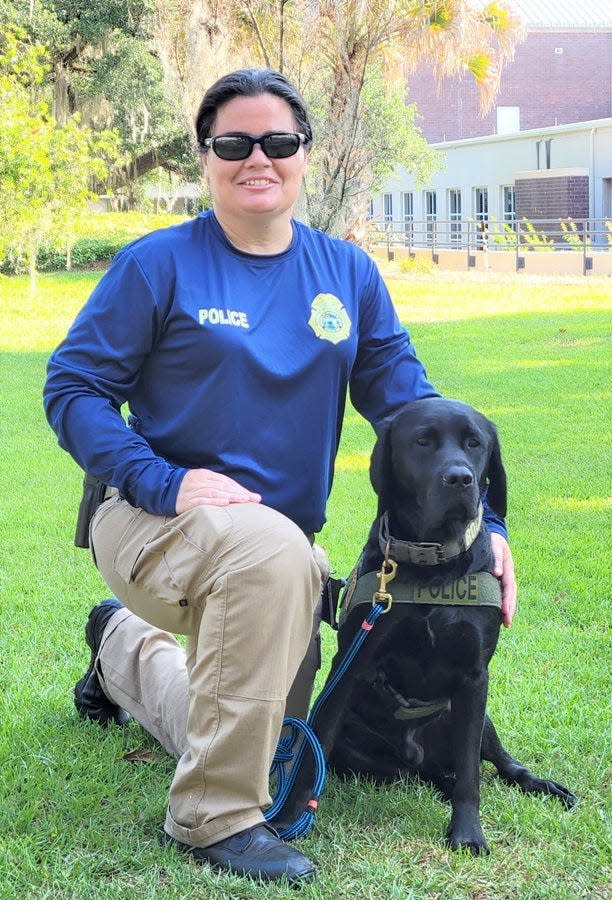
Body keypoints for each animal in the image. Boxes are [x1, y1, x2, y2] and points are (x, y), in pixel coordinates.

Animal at [280, 398, 576, 856]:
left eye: (475, 443)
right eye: (422, 441)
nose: (460, 479)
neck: (431, 565)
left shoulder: (475, 679)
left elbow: (472, 774)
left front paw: (468, 832)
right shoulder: (350, 667)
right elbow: (316, 752)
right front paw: (293, 818)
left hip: (480, 720)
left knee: (498, 764)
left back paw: (540, 785)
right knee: (420, 774)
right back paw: (439, 783)